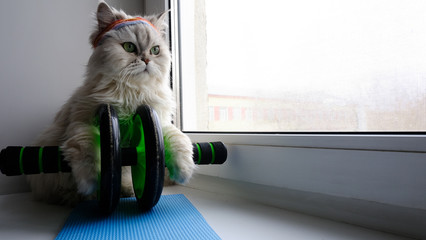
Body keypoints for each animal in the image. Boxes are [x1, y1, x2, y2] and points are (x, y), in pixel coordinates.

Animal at [26, 1, 193, 204]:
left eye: (155, 50)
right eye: (129, 47)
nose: (146, 59)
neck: (133, 92)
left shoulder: (159, 121)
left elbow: (179, 139)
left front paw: (184, 172)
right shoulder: (83, 123)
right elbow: (88, 151)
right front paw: (90, 182)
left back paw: (126, 191)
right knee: (62, 192)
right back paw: (85, 196)